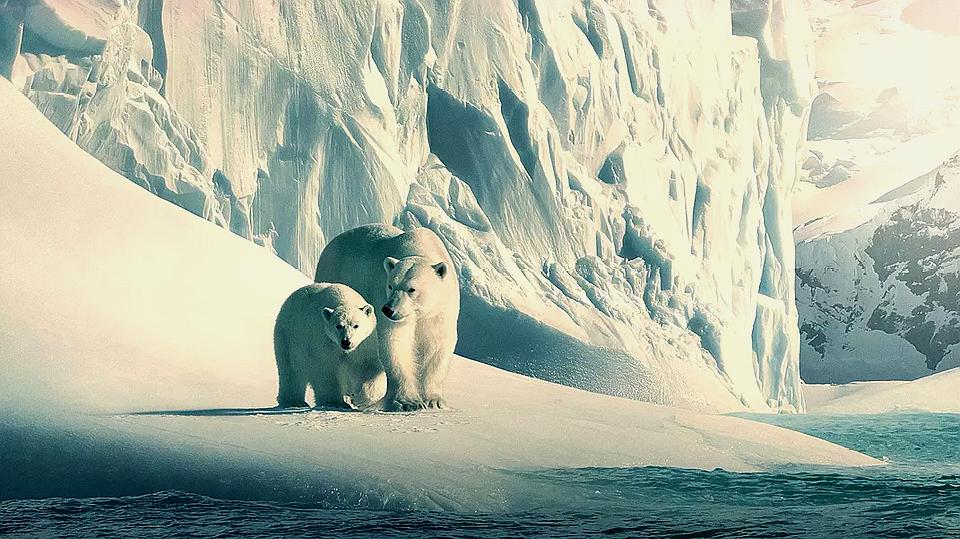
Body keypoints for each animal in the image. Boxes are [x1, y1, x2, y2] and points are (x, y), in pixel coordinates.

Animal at [272, 282, 384, 410]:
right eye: (338, 326)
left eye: (356, 325)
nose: (346, 342)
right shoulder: (324, 340)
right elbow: (326, 370)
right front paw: (335, 402)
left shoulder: (363, 345)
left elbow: (367, 366)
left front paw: (359, 398)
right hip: (287, 337)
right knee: (290, 370)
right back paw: (294, 401)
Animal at [314, 225, 460, 414]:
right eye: (390, 285)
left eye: (411, 289)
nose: (388, 309)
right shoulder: (382, 298)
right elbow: (395, 342)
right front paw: (408, 402)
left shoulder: (439, 310)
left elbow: (437, 345)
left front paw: (434, 401)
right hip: (335, 274)